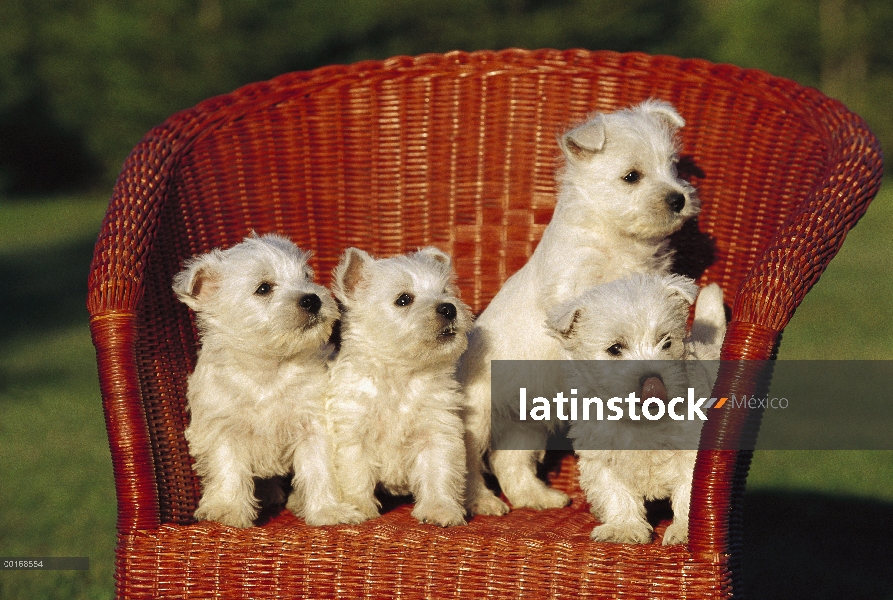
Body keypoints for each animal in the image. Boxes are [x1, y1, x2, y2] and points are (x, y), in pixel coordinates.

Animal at [174, 232, 362, 528]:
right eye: (263, 288)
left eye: (306, 276)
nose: (312, 299)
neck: (268, 367)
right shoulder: (223, 427)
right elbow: (228, 468)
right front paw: (227, 510)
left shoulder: (312, 425)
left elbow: (319, 469)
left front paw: (329, 511)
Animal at [324, 246, 470, 528]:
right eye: (404, 299)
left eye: (445, 291)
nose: (449, 308)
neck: (400, 375)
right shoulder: (353, 434)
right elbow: (355, 474)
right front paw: (359, 508)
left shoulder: (436, 432)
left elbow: (439, 472)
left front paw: (440, 510)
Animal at [456, 98, 700, 510]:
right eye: (631, 176)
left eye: (673, 167)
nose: (678, 198)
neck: (615, 236)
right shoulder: (574, 286)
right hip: (478, 418)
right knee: (470, 463)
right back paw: (485, 504)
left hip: (524, 423)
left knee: (510, 462)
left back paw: (539, 498)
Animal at [544, 274, 724, 548]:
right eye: (615, 348)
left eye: (666, 341)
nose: (653, 384)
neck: (642, 421)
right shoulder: (603, 460)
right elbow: (616, 494)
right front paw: (624, 528)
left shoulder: (689, 452)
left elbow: (688, 491)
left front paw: (684, 530)